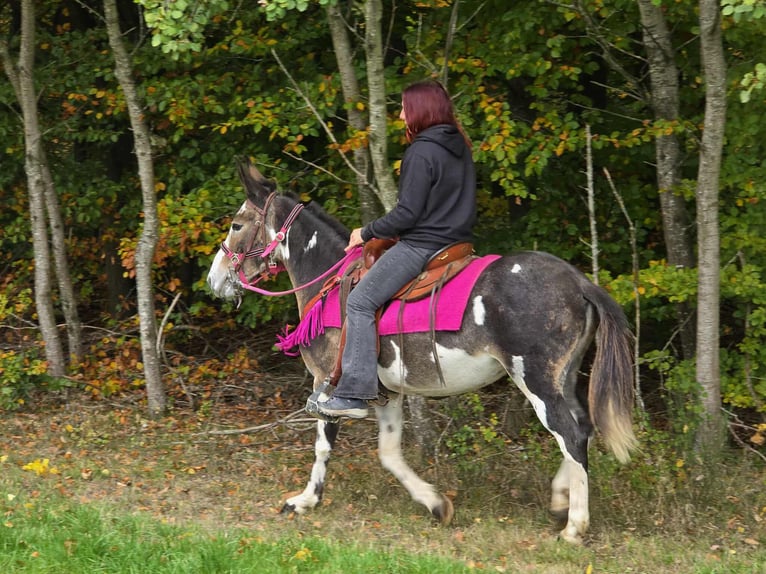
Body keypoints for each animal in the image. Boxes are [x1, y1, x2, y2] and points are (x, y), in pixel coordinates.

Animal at [206, 159, 637, 544]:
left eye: (237, 224)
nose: (214, 279)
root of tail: (579, 282)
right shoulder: (388, 394)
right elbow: (389, 454)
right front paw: (435, 503)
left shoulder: (327, 383)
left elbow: (324, 445)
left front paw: (305, 500)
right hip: (565, 377)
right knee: (582, 427)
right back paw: (560, 498)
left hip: (536, 380)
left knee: (570, 434)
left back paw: (574, 527)